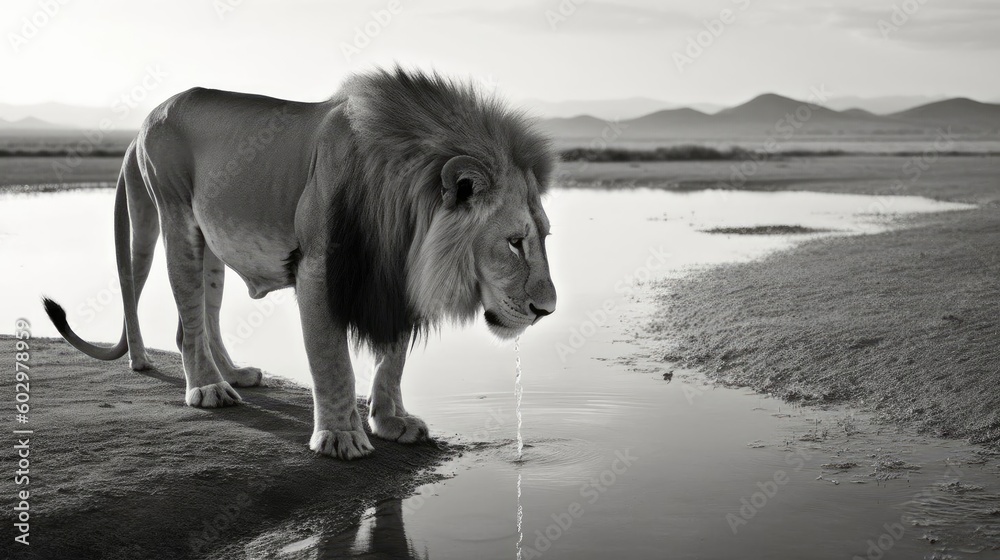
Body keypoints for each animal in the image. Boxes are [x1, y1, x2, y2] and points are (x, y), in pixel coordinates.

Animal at [42, 67, 557, 460]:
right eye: (514, 243)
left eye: (544, 237)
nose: (546, 310)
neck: (405, 216)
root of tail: (150, 116)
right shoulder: (318, 269)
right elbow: (332, 361)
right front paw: (340, 436)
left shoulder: (395, 277)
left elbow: (393, 360)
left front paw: (391, 421)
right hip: (168, 217)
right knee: (152, 292)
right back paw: (194, 384)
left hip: (210, 245)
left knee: (201, 317)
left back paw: (232, 374)